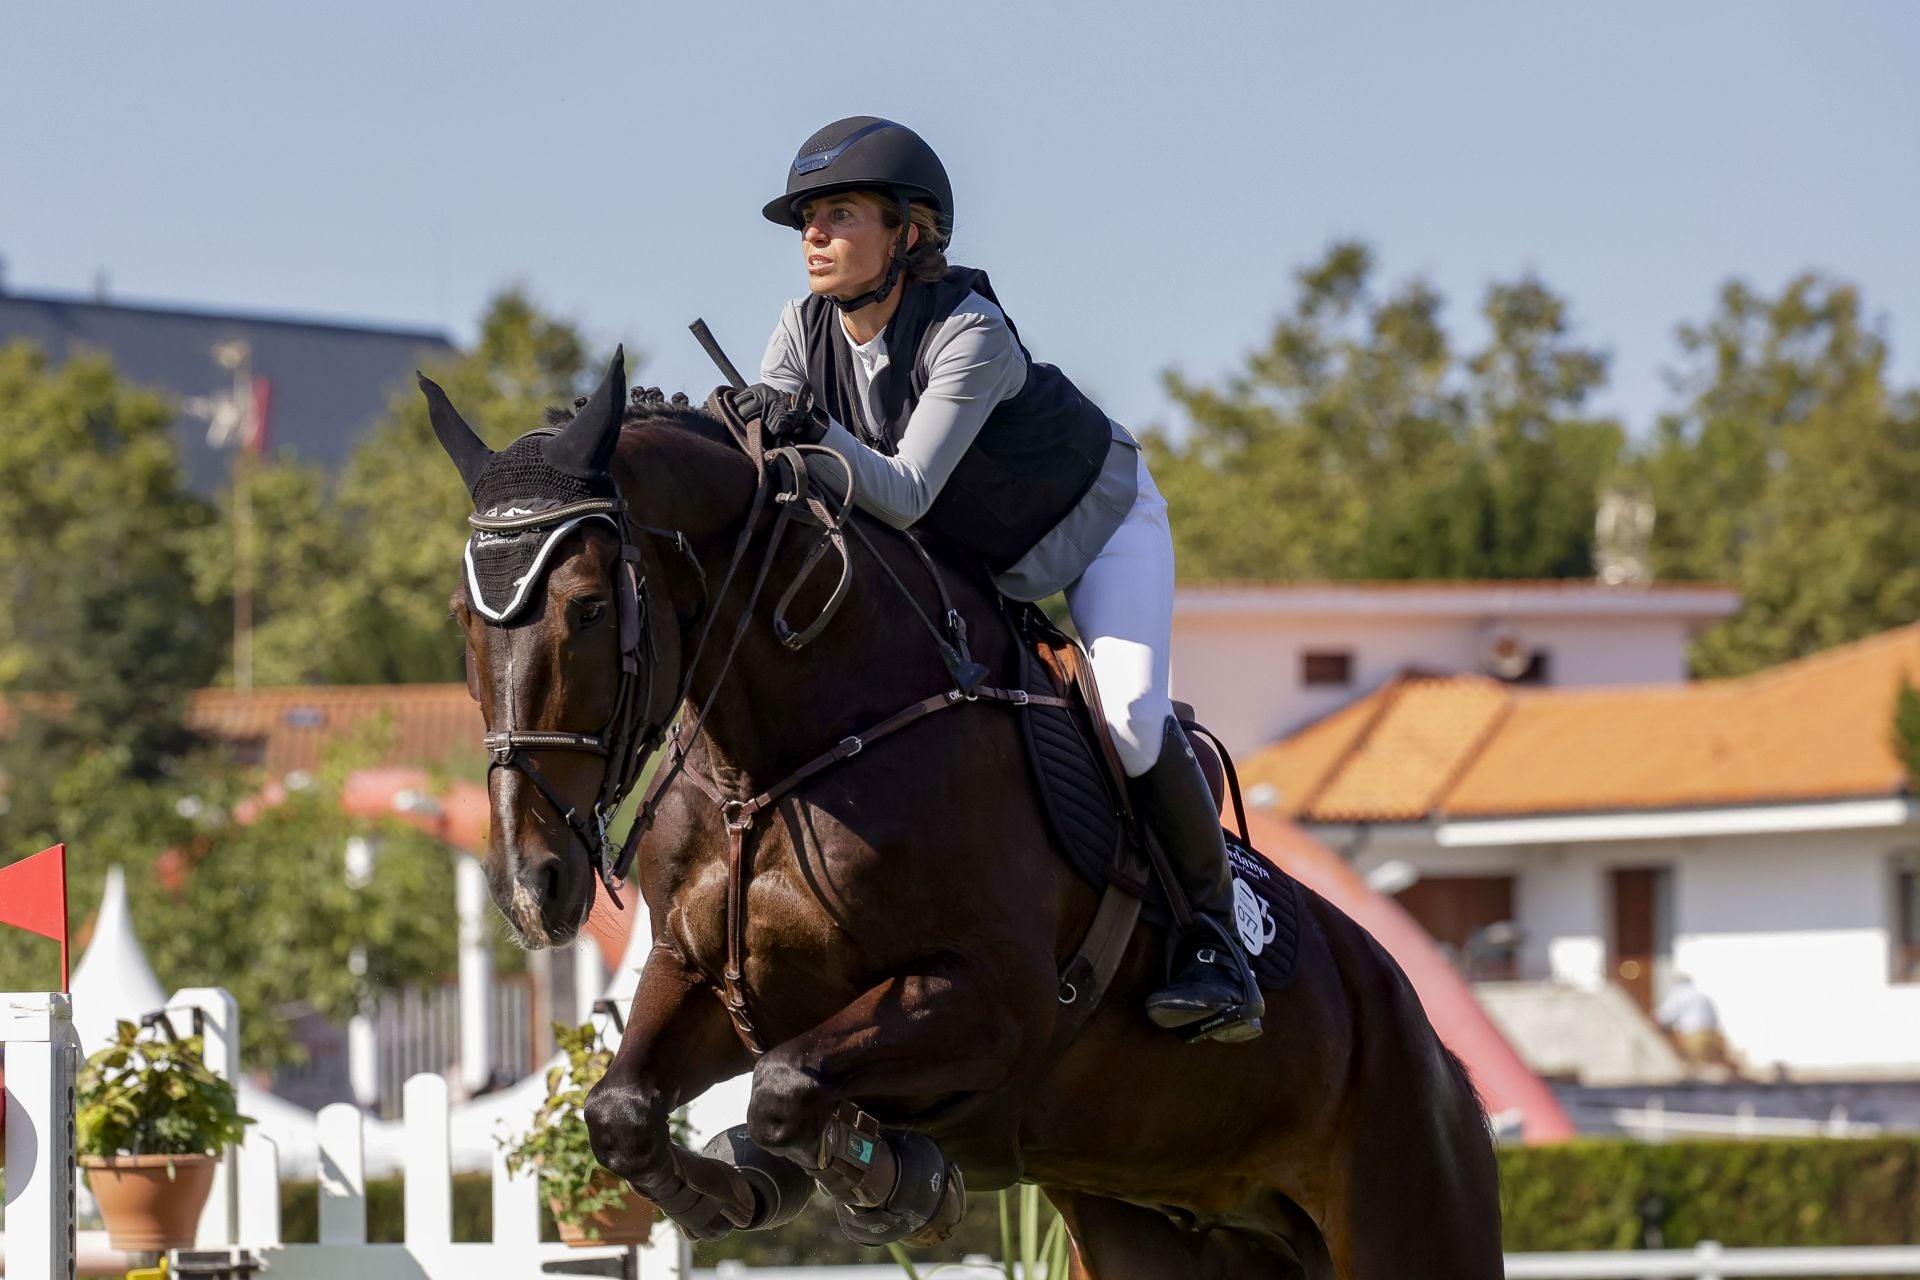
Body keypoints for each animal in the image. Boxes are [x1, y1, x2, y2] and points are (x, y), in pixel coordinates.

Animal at [432, 358, 1497, 1280]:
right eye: (461, 616)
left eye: (585, 607)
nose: (532, 888)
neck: (782, 760)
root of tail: (1437, 1051)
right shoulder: (702, 975)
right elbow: (622, 1112)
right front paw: (739, 1188)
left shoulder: (994, 1003)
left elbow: (786, 1086)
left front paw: (895, 1182)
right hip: (1155, 1231)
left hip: (1409, 1218)